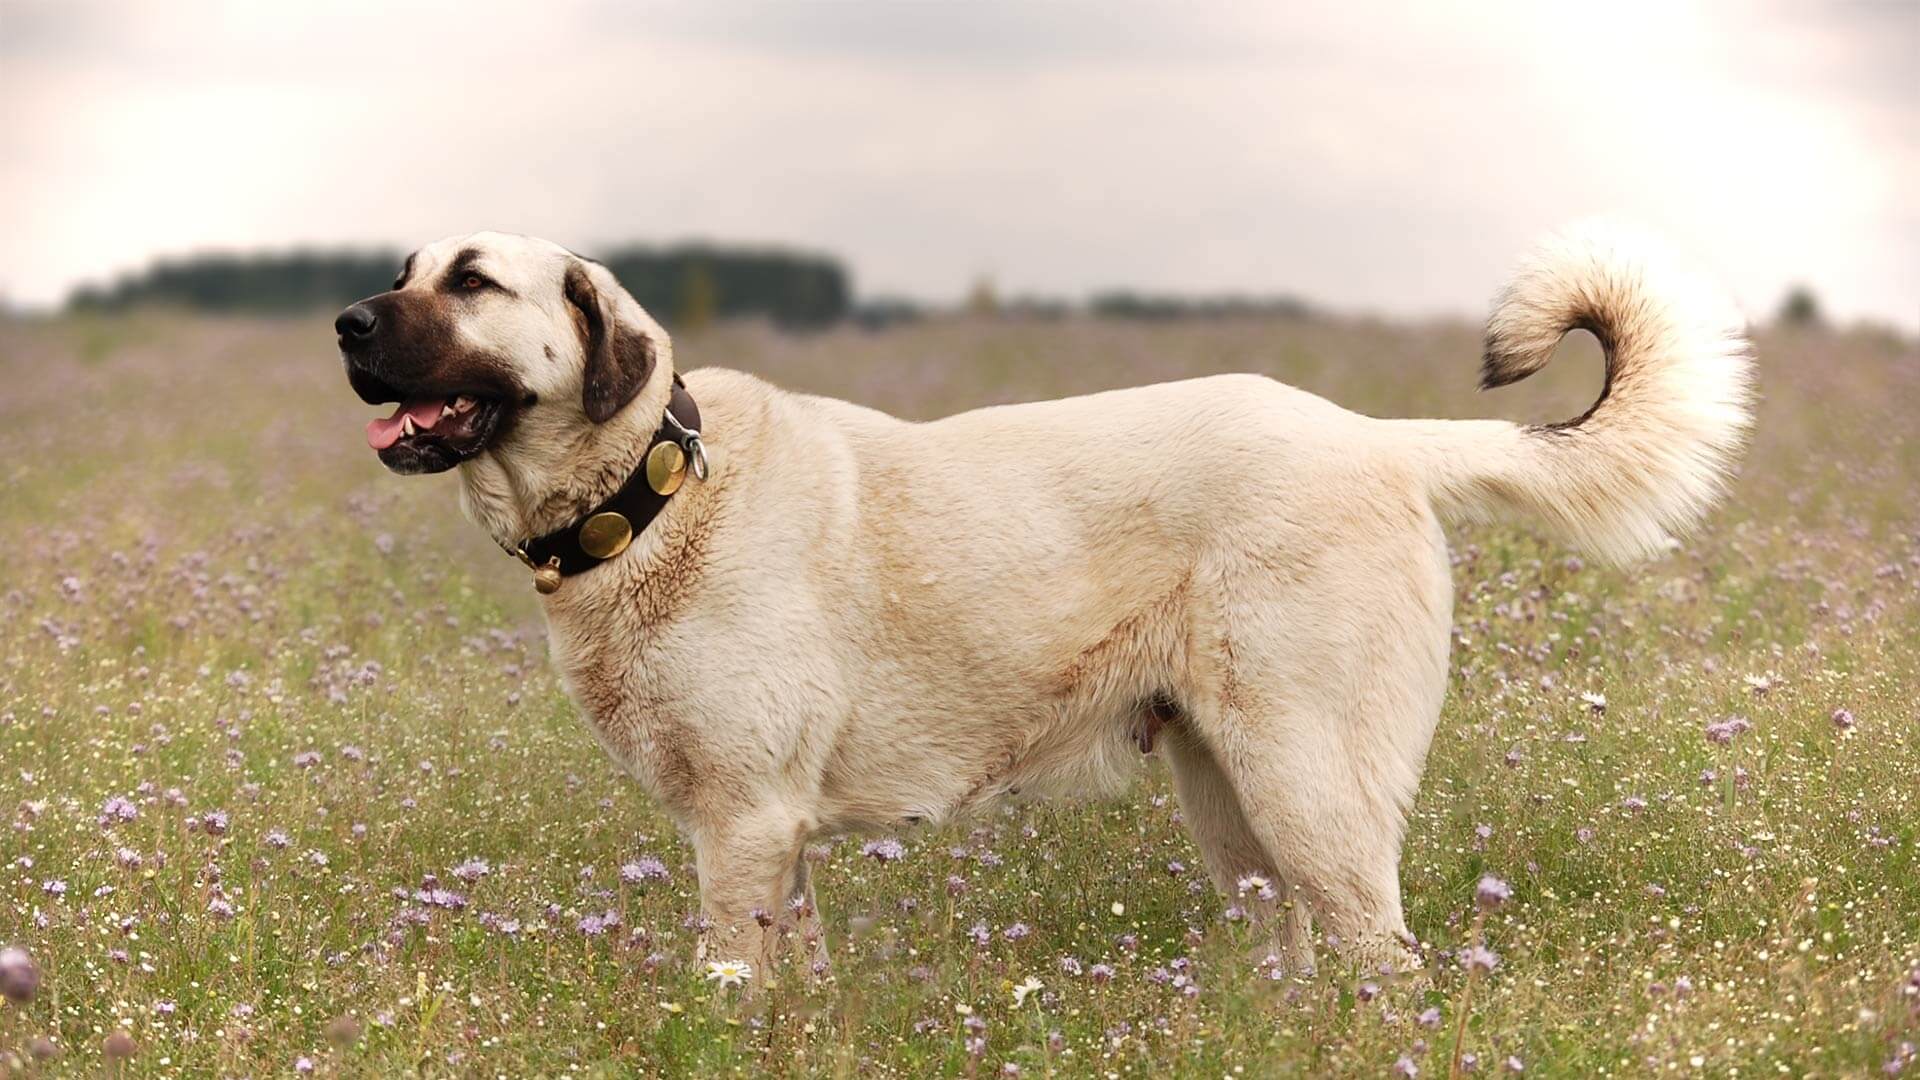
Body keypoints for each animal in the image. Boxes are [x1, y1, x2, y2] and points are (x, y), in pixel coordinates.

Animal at [334, 222, 1758, 972]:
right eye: (404, 270)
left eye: (471, 281)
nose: (347, 322)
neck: (656, 493)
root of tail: (1376, 440)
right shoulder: (771, 834)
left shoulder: (742, 820)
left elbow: (731, 976)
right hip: (1237, 807)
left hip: (1312, 789)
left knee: (1384, 965)